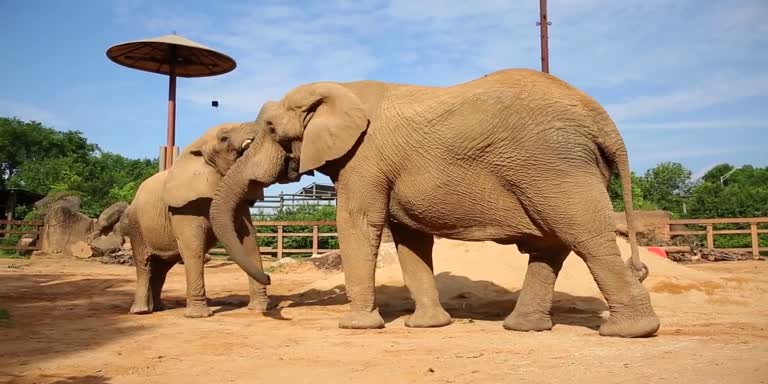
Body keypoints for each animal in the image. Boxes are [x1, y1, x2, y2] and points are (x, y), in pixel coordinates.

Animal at [124, 123, 272, 318]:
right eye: (224, 137)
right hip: (136, 224)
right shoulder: (183, 207)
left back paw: (159, 308)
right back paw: (141, 311)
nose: (270, 277)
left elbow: (249, 241)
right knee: (144, 263)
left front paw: (260, 308)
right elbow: (193, 247)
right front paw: (199, 316)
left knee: (163, 267)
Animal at [210, 68, 660, 336]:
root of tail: (606, 124)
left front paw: (356, 327)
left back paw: (630, 332)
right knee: (551, 246)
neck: (341, 88)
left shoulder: (365, 158)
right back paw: (522, 328)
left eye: (270, 128)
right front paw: (426, 327)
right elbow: (410, 239)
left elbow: (358, 223)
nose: (271, 286)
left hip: (555, 167)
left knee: (587, 238)